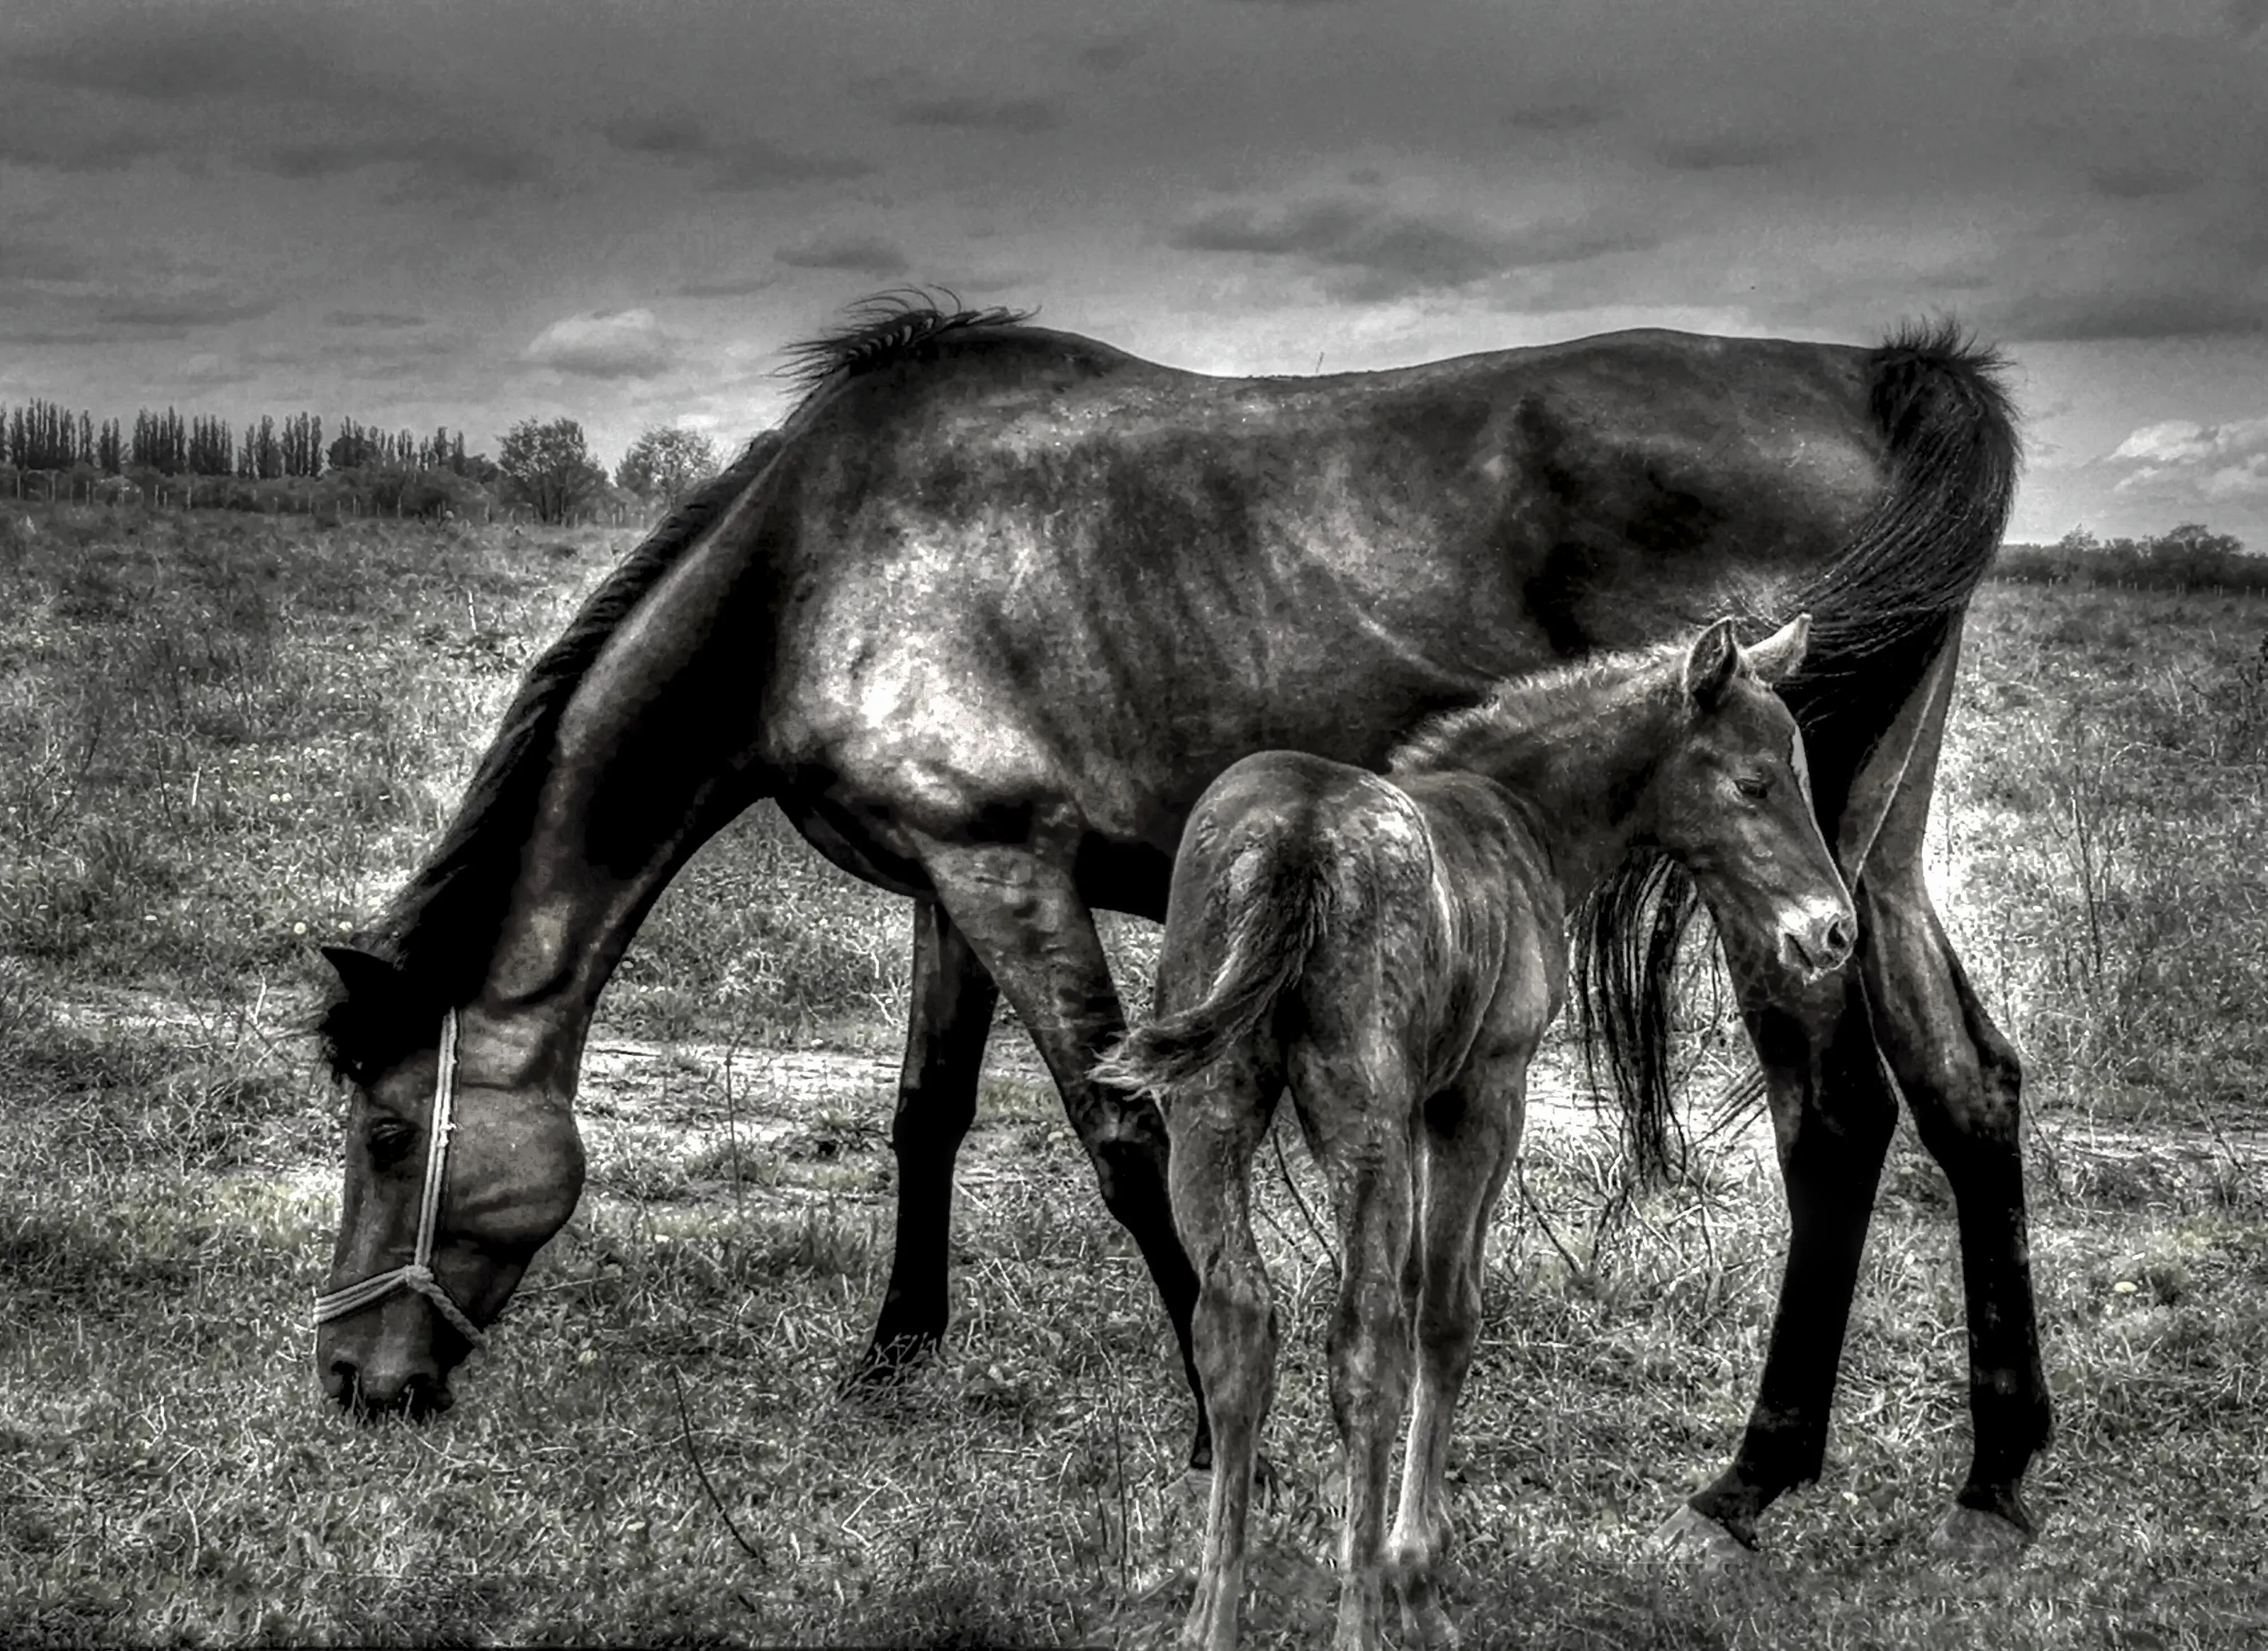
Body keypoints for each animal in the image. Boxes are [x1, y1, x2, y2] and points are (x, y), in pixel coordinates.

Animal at [1098, 616, 1845, 1651]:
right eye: (1753, 784)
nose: (1833, 931)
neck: (1519, 815)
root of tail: (1297, 836)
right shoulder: (1484, 1092)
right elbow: (1445, 1312)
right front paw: (1414, 1571)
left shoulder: (1421, 1107)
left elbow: (1420, 1289)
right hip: (1362, 1125)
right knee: (1364, 1346)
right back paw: (1360, 1615)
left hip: (1212, 1112)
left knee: (1235, 1324)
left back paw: (1213, 1616)